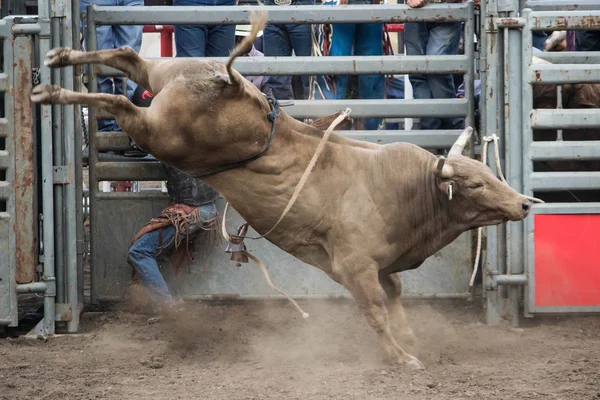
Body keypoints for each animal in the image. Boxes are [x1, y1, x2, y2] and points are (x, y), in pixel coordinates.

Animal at [30, 10, 532, 370]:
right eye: (475, 182)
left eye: (491, 174)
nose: (526, 202)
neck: (407, 190)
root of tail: (232, 83)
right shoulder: (355, 266)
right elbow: (376, 310)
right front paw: (401, 356)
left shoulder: (381, 265)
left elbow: (395, 296)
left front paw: (408, 337)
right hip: (161, 132)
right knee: (116, 99)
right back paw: (50, 92)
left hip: (163, 79)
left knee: (125, 58)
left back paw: (58, 59)